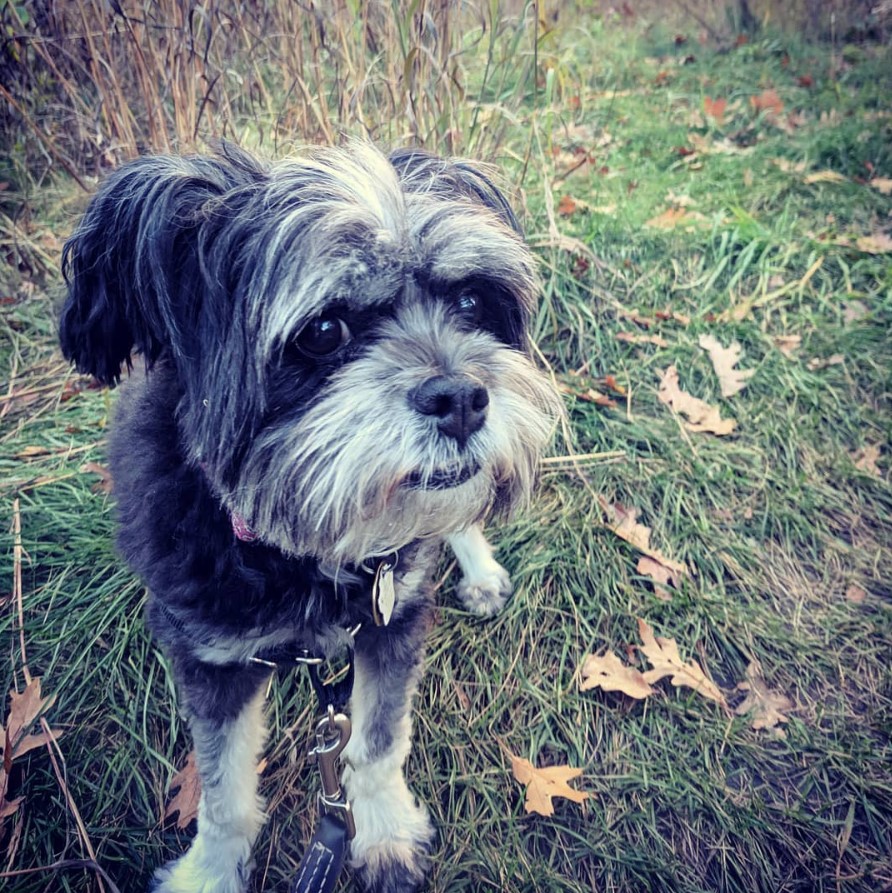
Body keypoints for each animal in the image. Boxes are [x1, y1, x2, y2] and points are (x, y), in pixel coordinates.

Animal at [57, 143, 556, 888]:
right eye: (323, 331)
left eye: (471, 300)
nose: (464, 398)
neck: (302, 555)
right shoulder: (210, 659)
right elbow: (224, 790)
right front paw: (210, 871)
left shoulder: (390, 621)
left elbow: (376, 742)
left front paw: (382, 832)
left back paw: (480, 569)